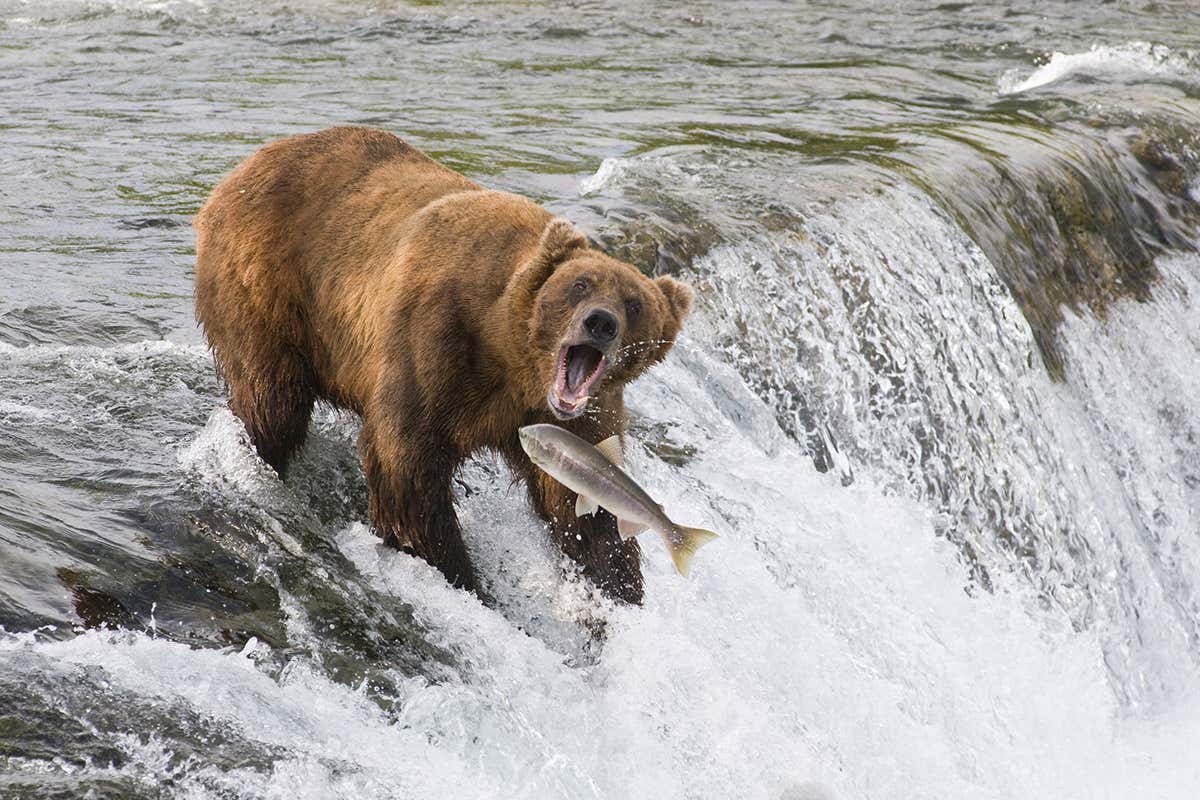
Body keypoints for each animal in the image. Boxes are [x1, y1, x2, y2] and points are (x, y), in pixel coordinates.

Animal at [193, 126, 693, 604]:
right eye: (580, 284)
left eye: (635, 304)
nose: (601, 322)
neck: (510, 354)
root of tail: (241, 168)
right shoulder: (438, 341)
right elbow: (406, 462)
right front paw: (459, 573)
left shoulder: (580, 414)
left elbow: (579, 504)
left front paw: (615, 588)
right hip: (267, 283)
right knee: (274, 402)